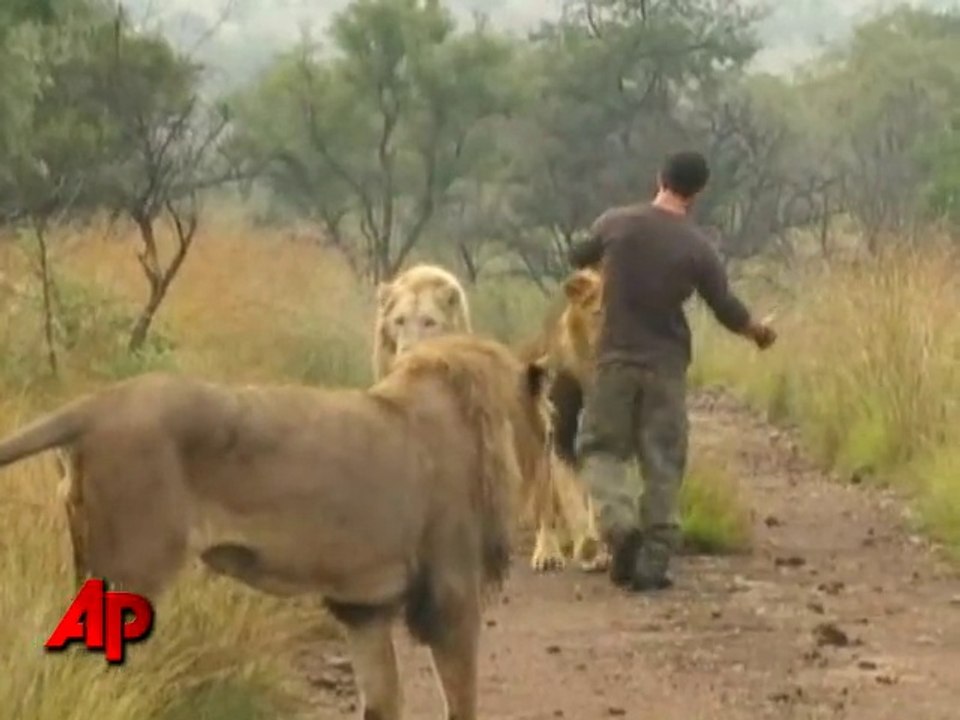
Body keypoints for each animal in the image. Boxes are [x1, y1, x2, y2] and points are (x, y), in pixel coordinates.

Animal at [0, 333, 553, 720]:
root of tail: (98, 404)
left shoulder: (364, 607)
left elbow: (383, 700)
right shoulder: (450, 594)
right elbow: (462, 700)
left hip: (91, 565)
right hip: (135, 571)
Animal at [518, 266, 607, 574]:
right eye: (597, 312)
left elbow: (595, 500)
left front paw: (598, 550)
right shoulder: (561, 437)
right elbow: (570, 497)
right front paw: (588, 548)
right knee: (546, 504)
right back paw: (548, 553)